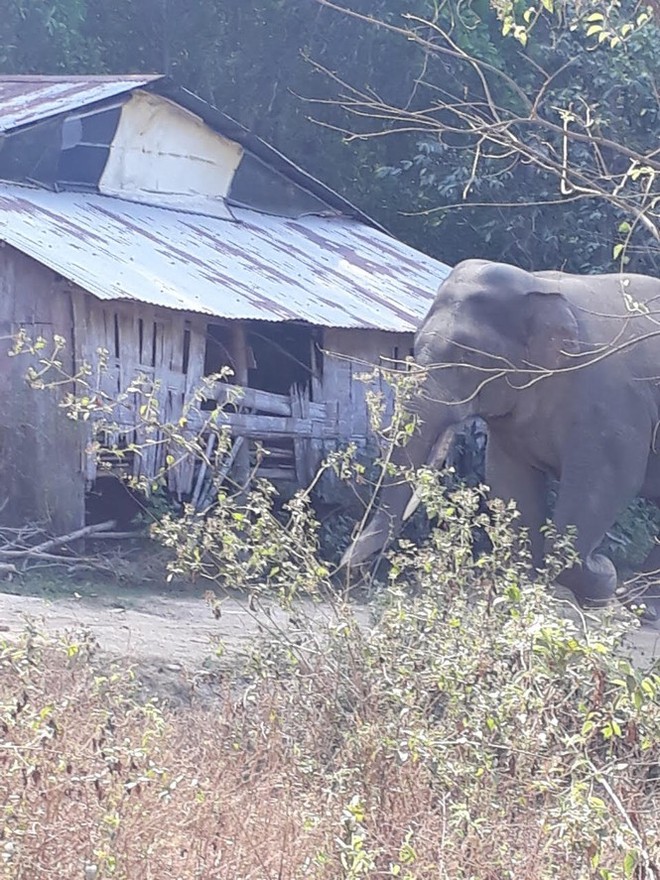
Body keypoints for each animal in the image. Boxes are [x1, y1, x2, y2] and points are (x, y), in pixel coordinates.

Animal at [342, 258, 660, 620]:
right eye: (415, 347)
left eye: (466, 358)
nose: (347, 567)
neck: (538, 285)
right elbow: (509, 483)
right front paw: (532, 590)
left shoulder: (612, 406)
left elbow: (603, 485)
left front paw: (602, 579)